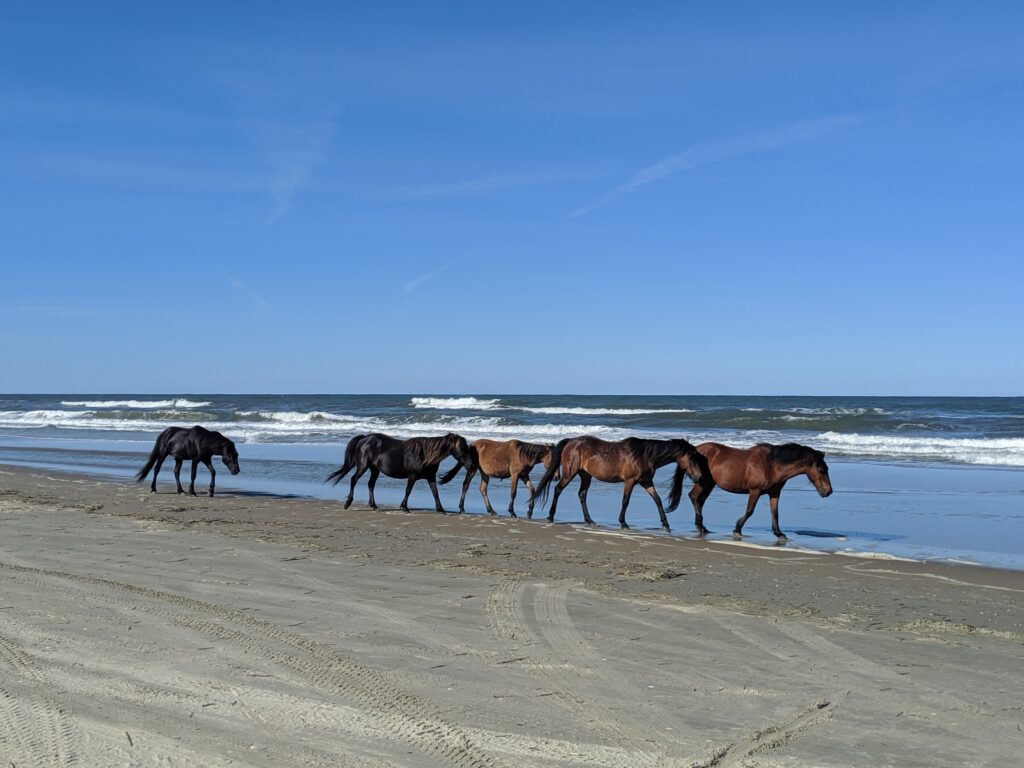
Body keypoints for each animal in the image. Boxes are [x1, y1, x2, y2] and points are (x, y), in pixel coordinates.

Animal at [325, 436, 473, 514]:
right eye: (462, 448)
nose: (470, 465)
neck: (424, 454)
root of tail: (364, 439)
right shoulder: (412, 476)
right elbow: (408, 490)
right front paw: (404, 507)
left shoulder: (430, 478)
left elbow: (435, 492)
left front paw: (441, 509)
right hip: (363, 466)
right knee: (353, 480)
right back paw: (348, 503)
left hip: (374, 469)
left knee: (370, 485)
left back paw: (374, 506)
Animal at [532, 436, 708, 532]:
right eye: (692, 457)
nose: (699, 476)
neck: (644, 455)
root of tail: (571, 442)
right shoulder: (630, 481)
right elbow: (625, 501)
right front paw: (623, 523)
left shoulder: (646, 482)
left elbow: (657, 500)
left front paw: (665, 523)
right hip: (570, 473)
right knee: (558, 489)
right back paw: (550, 516)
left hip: (586, 475)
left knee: (581, 495)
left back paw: (590, 521)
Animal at [667, 442, 835, 544]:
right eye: (822, 469)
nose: (828, 491)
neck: (771, 465)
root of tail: (695, 449)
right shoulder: (755, 491)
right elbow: (749, 511)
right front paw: (737, 529)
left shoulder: (774, 493)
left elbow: (775, 513)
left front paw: (779, 534)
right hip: (704, 483)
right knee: (694, 497)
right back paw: (700, 527)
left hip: (709, 484)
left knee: (699, 500)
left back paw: (703, 526)